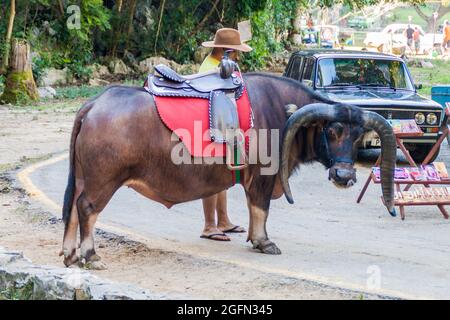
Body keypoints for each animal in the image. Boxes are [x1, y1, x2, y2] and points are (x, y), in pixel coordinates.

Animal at [59, 72, 394, 268]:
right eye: (332, 131)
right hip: (103, 180)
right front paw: (263, 241)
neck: (279, 112)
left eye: (357, 136)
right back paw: (90, 255)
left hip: (83, 177)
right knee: (87, 208)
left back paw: (70, 253)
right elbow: (260, 209)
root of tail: (95, 104)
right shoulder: (263, 176)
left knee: (73, 208)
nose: (344, 176)